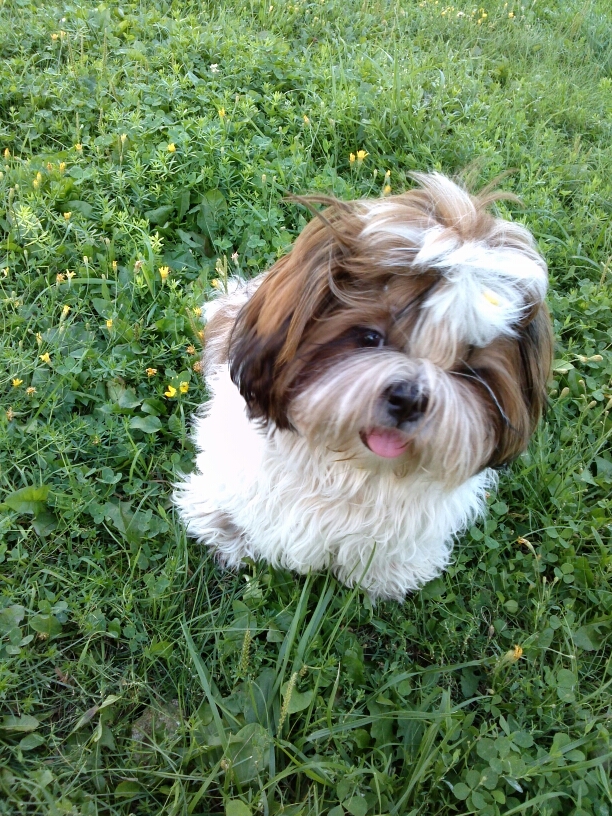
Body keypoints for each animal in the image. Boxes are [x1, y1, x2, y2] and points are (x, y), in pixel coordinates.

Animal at [175, 172, 553, 601]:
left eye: (466, 369)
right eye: (370, 338)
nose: (410, 399)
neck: (350, 464)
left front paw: (388, 572)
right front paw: (226, 526)